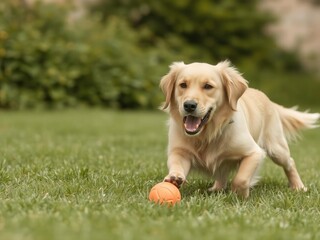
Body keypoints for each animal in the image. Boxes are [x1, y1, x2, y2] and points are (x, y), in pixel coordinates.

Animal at [159, 61, 318, 198]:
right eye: (183, 85)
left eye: (208, 86)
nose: (189, 105)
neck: (208, 134)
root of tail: (268, 99)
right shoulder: (180, 151)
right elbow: (176, 163)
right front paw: (174, 177)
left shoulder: (254, 152)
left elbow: (240, 178)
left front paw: (240, 194)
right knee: (221, 173)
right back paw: (216, 188)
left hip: (277, 148)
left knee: (290, 163)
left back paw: (298, 186)